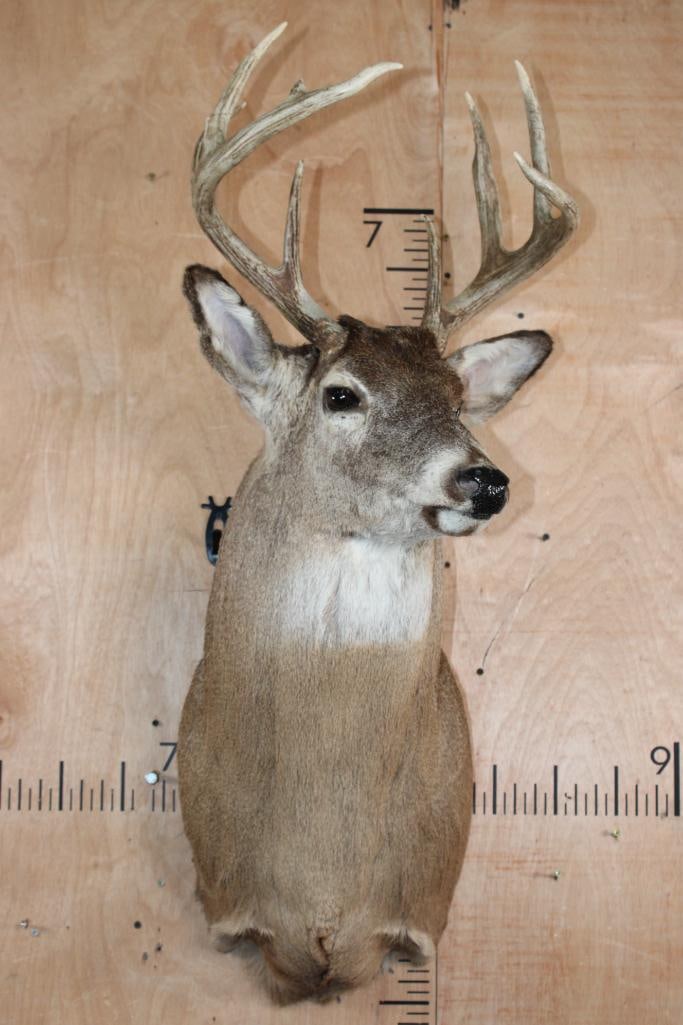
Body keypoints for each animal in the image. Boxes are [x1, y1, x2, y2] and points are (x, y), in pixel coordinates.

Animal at [177, 22, 577, 1005]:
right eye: (341, 394)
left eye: (458, 399)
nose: (484, 480)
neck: (321, 870)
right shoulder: (235, 914)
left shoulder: (415, 918)